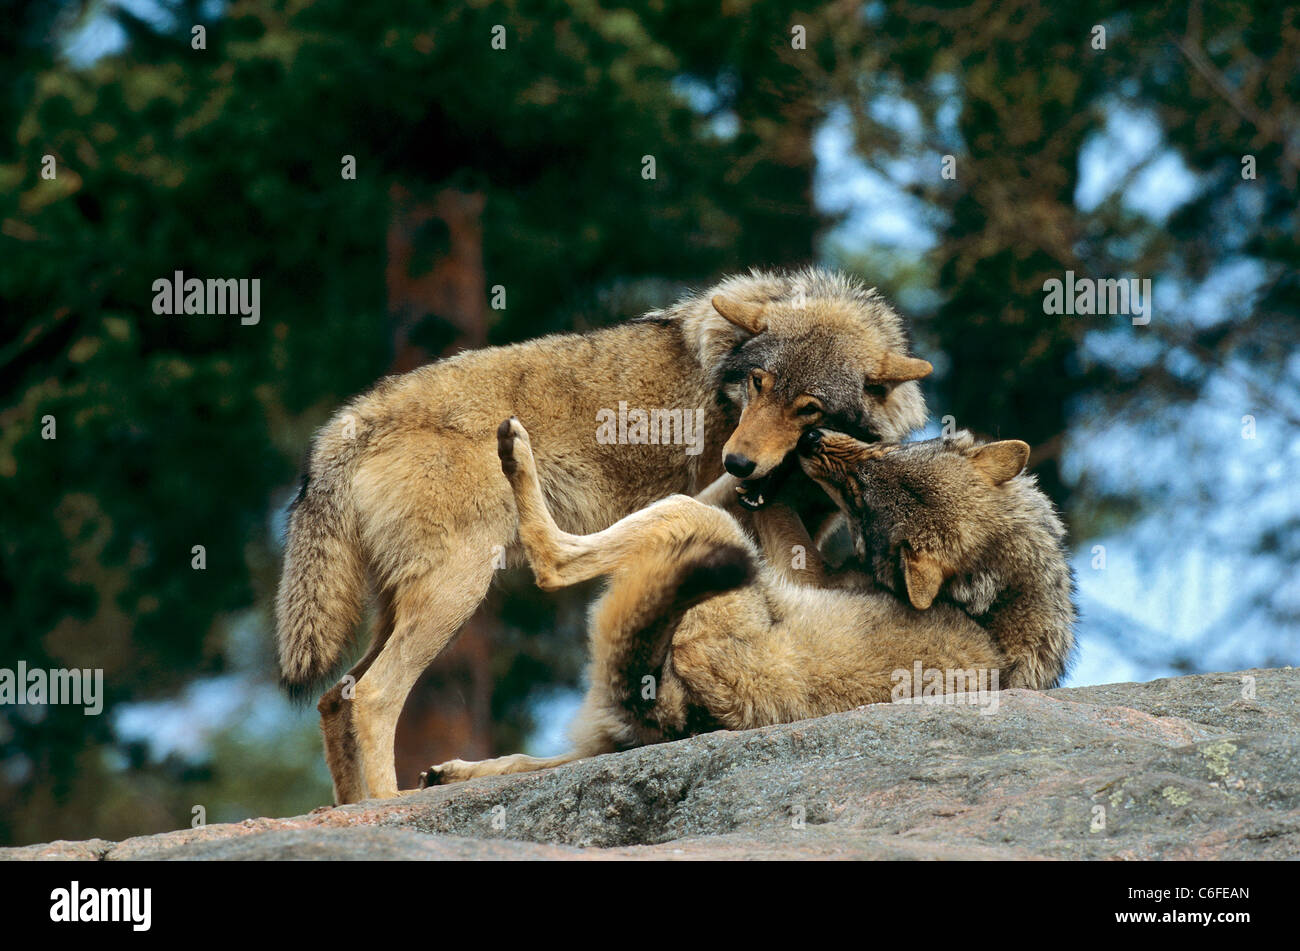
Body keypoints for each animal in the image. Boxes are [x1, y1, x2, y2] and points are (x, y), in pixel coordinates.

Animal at [276, 267, 935, 800]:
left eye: (809, 407)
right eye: (757, 384)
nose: (738, 463)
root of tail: (345, 424)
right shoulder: (737, 505)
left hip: (409, 603)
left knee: (336, 697)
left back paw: (352, 808)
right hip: (457, 590)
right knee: (375, 696)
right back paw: (386, 806)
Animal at [418, 418, 1076, 789]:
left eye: (862, 494)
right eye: (884, 457)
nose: (809, 437)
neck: (996, 601)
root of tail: (683, 713)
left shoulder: (794, 561)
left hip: (697, 527)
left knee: (555, 562)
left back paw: (515, 455)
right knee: (540, 764)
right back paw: (447, 773)